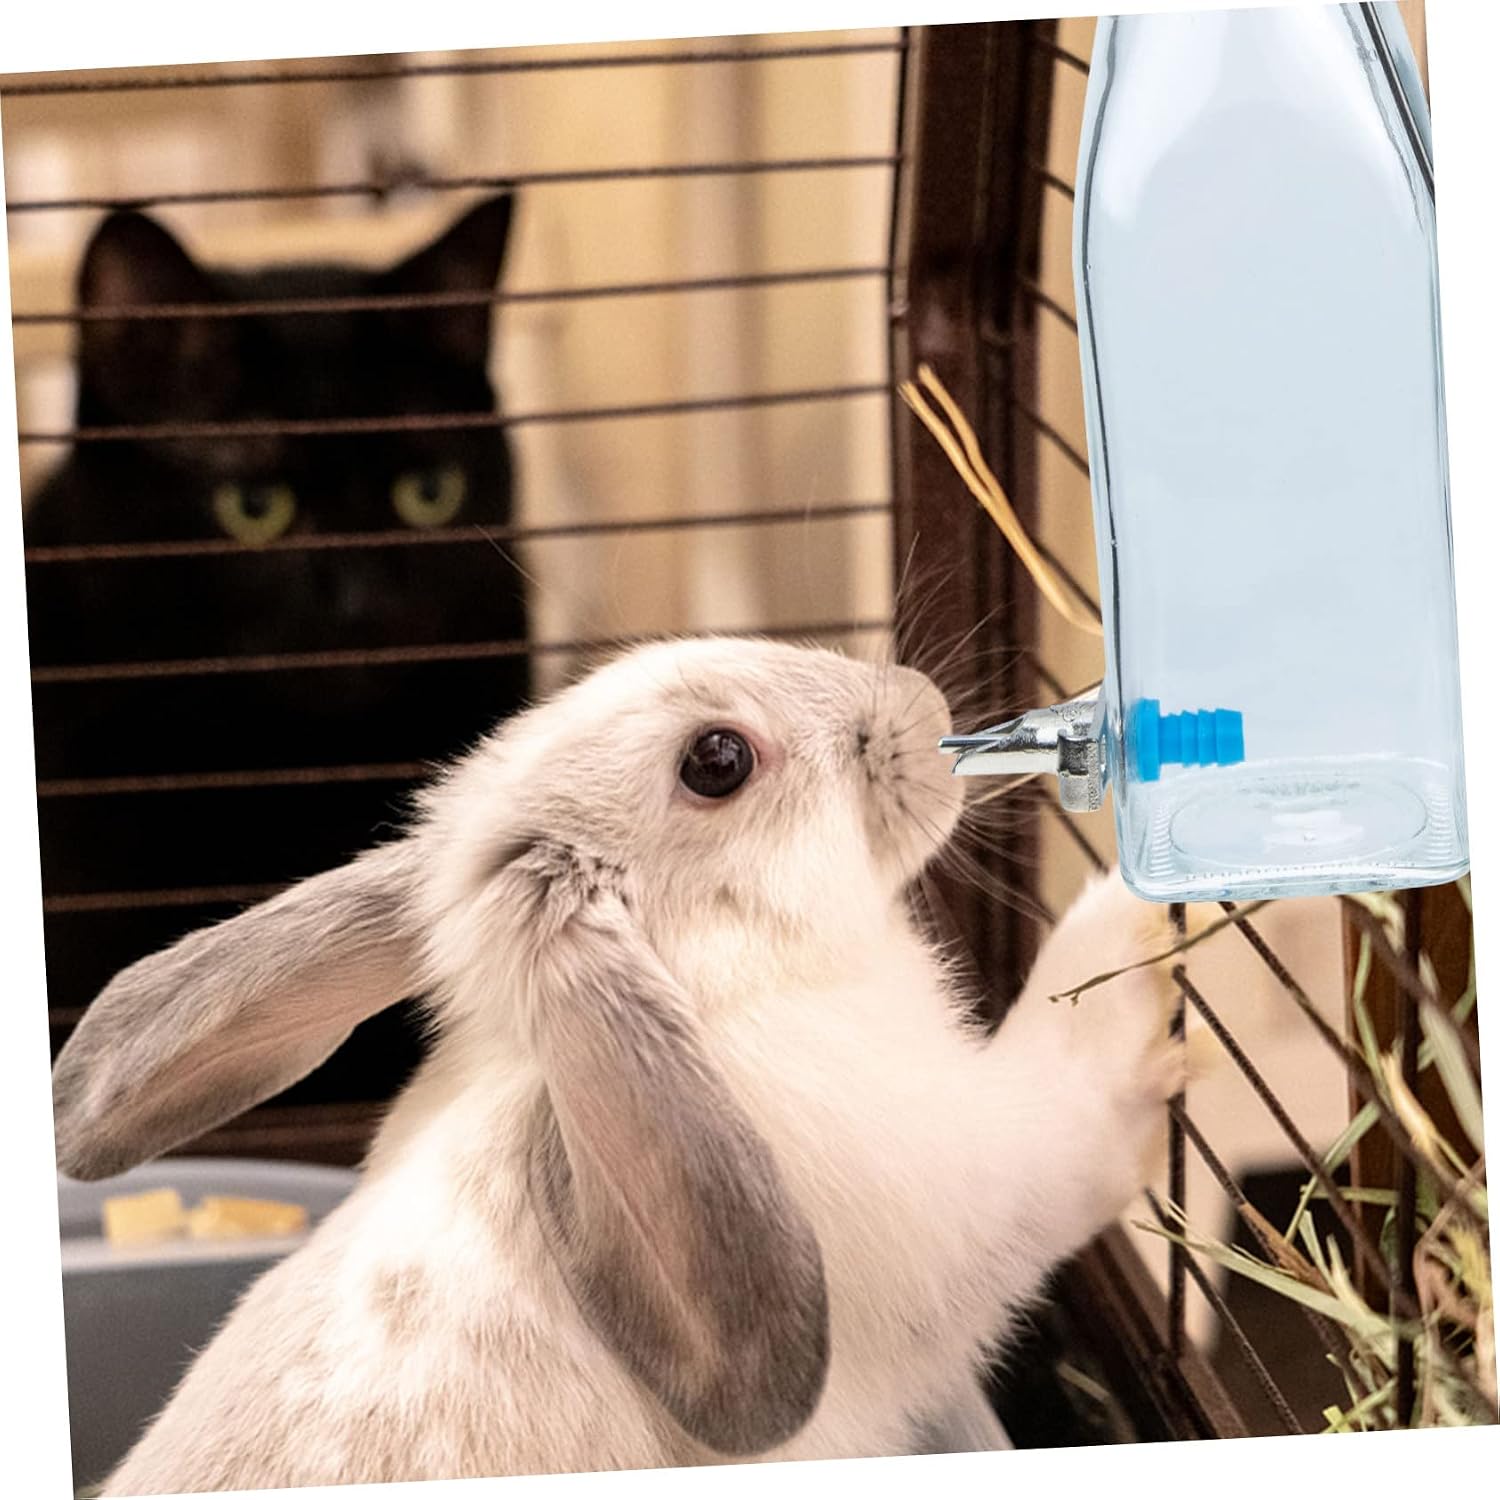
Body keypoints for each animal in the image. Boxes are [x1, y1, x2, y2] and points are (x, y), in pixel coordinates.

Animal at [51, 636, 1185, 1494]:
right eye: (717, 760)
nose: (918, 699)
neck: (717, 987)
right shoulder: (999, 1186)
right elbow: (1072, 1084)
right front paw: (1128, 921)